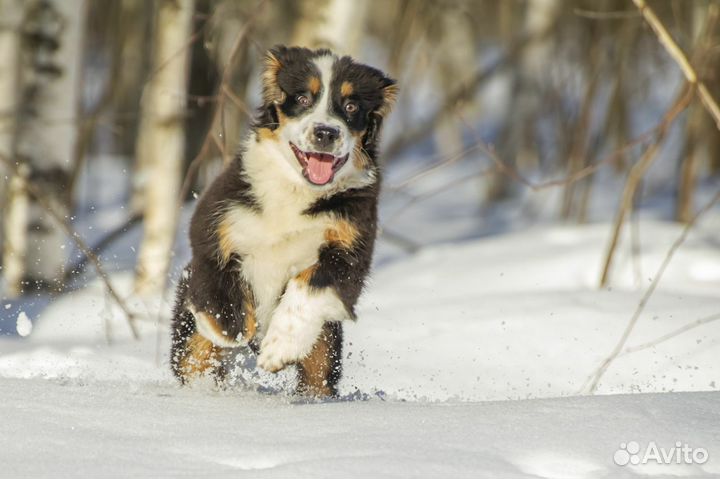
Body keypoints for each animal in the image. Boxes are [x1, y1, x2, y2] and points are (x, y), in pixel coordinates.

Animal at [169, 46, 396, 398]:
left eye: (351, 106)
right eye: (302, 99)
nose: (326, 133)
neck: (297, 192)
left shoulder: (351, 251)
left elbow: (309, 286)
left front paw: (279, 348)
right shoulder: (212, 227)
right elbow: (220, 292)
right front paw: (228, 329)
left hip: (325, 347)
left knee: (317, 377)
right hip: (189, 342)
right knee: (194, 360)